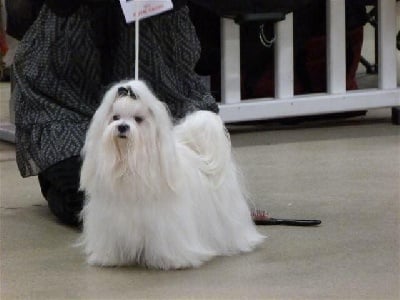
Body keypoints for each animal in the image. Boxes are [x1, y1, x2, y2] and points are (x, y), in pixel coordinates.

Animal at [79, 79, 264, 270]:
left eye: (138, 119)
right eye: (115, 117)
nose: (122, 127)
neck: (130, 164)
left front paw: (171, 260)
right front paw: (109, 257)